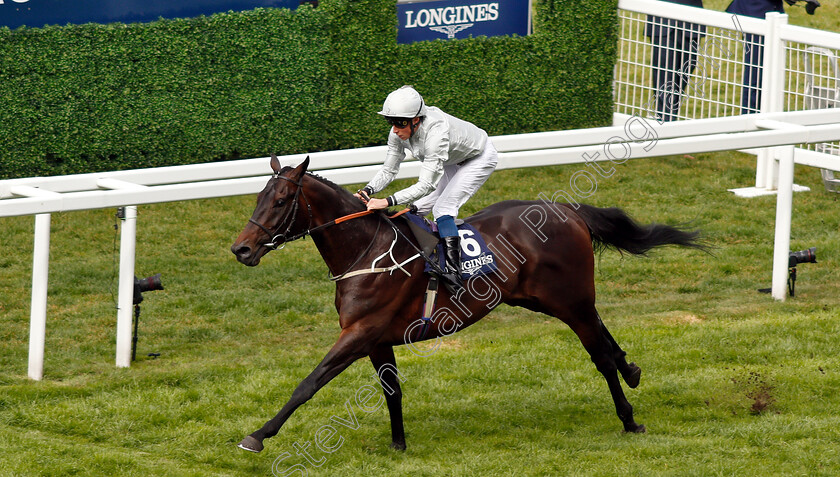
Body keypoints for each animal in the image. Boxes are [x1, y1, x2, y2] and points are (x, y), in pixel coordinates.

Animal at [228, 154, 704, 452]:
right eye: (258, 197)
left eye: (282, 200)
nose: (241, 250)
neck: (366, 251)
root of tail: (570, 211)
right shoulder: (377, 339)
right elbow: (391, 391)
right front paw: (398, 444)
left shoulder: (360, 332)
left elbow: (308, 383)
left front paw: (258, 435)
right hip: (544, 299)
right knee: (603, 329)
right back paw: (632, 369)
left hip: (569, 300)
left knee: (600, 355)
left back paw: (629, 418)